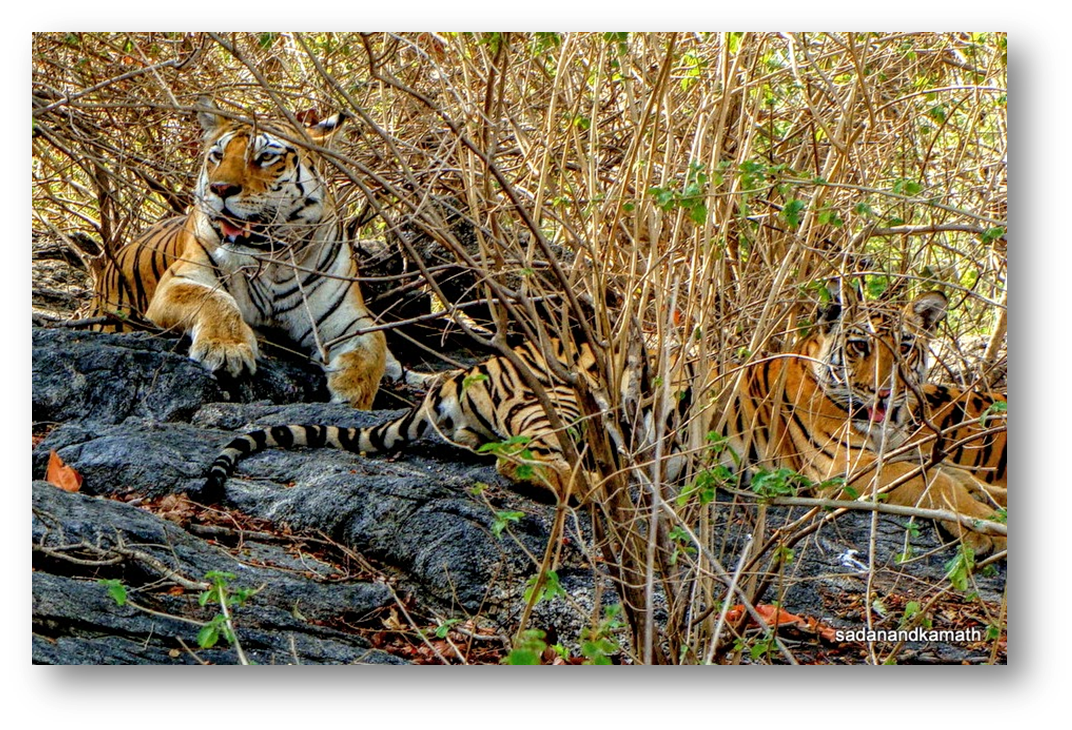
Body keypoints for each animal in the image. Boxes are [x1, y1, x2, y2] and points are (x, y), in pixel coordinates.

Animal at [89, 97, 427, 407]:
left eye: (265, 157)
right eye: (217, 155)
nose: (220, 188)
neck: (273, 258)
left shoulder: (345, 316)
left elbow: (373, 342)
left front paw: (352, 391)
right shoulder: (178, 282)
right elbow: (214, 300)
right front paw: (227, 350)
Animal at [202, 288, 1007, 554]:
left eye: (907, 347)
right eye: (862, 346)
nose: (885, 392)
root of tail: (460, 371)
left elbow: (959, 476)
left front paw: (991, 511)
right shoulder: (851, 465)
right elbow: (936, 487)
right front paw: (983, 532)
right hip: (564, 398)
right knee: (524, 463)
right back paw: (612, 486)